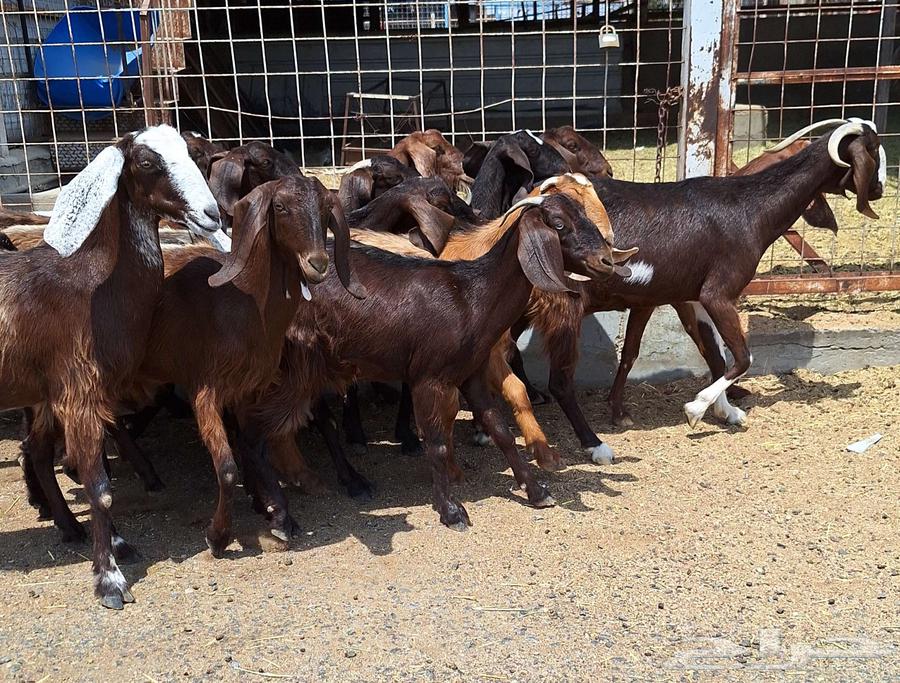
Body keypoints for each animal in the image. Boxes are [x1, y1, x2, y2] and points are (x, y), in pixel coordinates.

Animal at [3, 125, 227, 609]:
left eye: (195, 154)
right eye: (145, 162)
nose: (211, 214)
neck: (94, 286)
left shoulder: (79, 391)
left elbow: (96, 479)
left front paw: (117, 546)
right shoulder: (80, 391)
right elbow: (101, 490)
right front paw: (109, 579)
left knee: (38, 453)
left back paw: (69, 526)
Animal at [259, 192, 620, 527]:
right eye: (559, 224)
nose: (606, 261)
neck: (473, 295)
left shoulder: (471, 373)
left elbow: (500, 429)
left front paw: (536, 491)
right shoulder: (429, 377)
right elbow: (436, 443)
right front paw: (451, 510)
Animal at [512, 119, 885, 454]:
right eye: (872, 150)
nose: (880, 189)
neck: (749, 209)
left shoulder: (688, 297)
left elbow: (711, 355)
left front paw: (726, 411)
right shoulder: (718, 293)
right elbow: (742, 356)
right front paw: (696, 409)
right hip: (565, 305)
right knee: (560, 381)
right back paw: (593, 445)